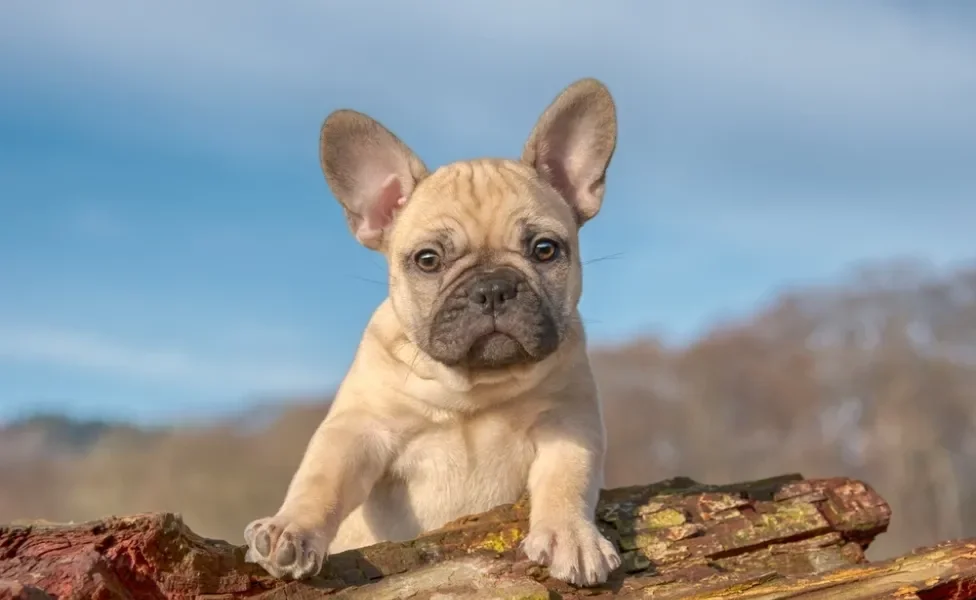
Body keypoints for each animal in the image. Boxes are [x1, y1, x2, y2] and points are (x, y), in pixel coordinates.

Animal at [243, 78, 616, 584]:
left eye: (544, 250)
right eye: (428, 260)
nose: (493, 288)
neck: (474, 391)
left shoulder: (568, 422)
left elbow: (566, 478)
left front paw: (570, 536)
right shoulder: (359, 429)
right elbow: (322, 480)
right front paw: (291, 528)